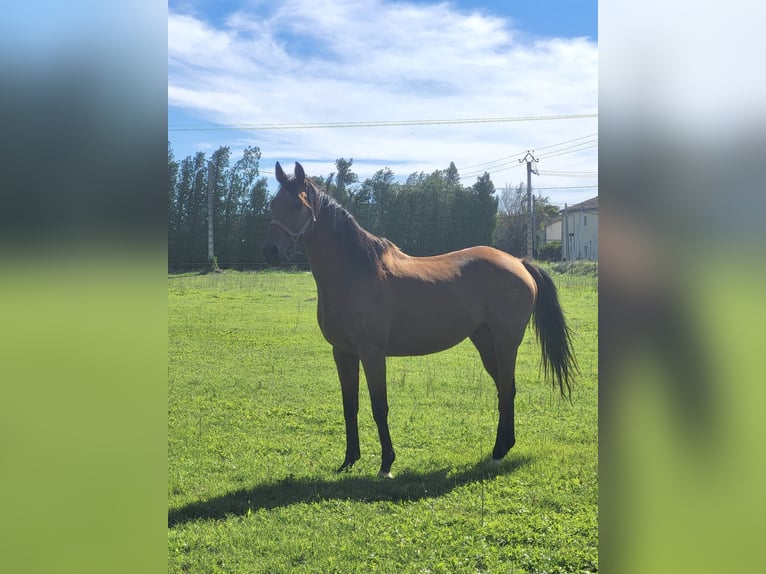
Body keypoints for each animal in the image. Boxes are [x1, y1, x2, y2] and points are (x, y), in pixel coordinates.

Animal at [262, 163, 576, 482]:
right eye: (274, 204)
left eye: (298, 205)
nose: (270, 252)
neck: (356, 271)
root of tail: (518, 262)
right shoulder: (343, 353)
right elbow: (350, 406)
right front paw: (349, 460)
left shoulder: (372, 353)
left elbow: (379, 406)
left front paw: (386, 464)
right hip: (485, 341)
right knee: (504, 389)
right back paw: (500, 449)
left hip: (505, 343)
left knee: (508, 390)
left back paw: (498, 453)